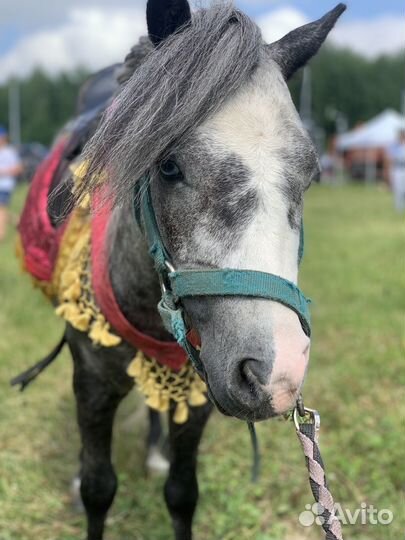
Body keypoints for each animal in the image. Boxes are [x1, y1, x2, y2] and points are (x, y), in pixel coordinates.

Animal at [16, 2, 344, 536]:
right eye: (168, 165)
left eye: (311, 174)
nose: (275, 375)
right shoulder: (92, 382)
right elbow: (98, 488)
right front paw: (86, 483)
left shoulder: (200, 389)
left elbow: (182, 493)